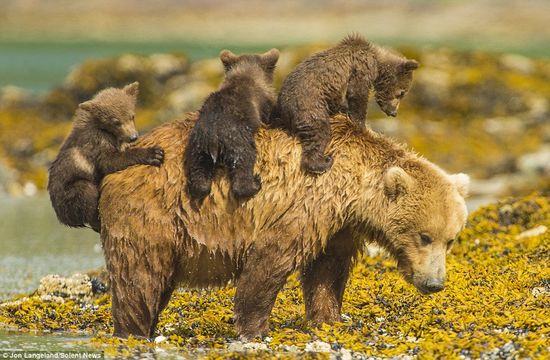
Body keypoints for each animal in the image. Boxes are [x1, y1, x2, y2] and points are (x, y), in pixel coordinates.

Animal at [48, 82, 164, 232]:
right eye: (116, 122)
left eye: (132, 116)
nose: (133, 137)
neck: (104, 129)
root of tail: (62, 218)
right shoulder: (96, 142)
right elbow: (110, 161)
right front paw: (154, 153)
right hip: (68, 194)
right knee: (85, 192)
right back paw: (98, 221)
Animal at [99, 112, 470, 340]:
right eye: (424, 236)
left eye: (450, 240)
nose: (434, 283)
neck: (352, 192)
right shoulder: (304, 204)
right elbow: (270, 260)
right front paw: (255, 328)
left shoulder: (338, 227)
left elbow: (326, 272)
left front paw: (331, 319)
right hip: (155, 213)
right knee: (140, 277)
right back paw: (133, 330)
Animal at [185, 49, 280, 205]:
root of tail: (214, 137)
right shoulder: (264, 105)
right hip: (237, 139)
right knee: (243, 161)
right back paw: (255, 183)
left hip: (198, 144)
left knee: (199, 169)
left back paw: (197, 187)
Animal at [270, 34, 418, 174]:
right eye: (402, 93)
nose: (394, 112)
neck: (377, 63)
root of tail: (283, 108)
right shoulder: (361, 68)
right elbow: (357, 94)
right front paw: (361, 126)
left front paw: (343, 109)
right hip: (309, 107)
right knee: (319, 132)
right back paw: (323, 162)